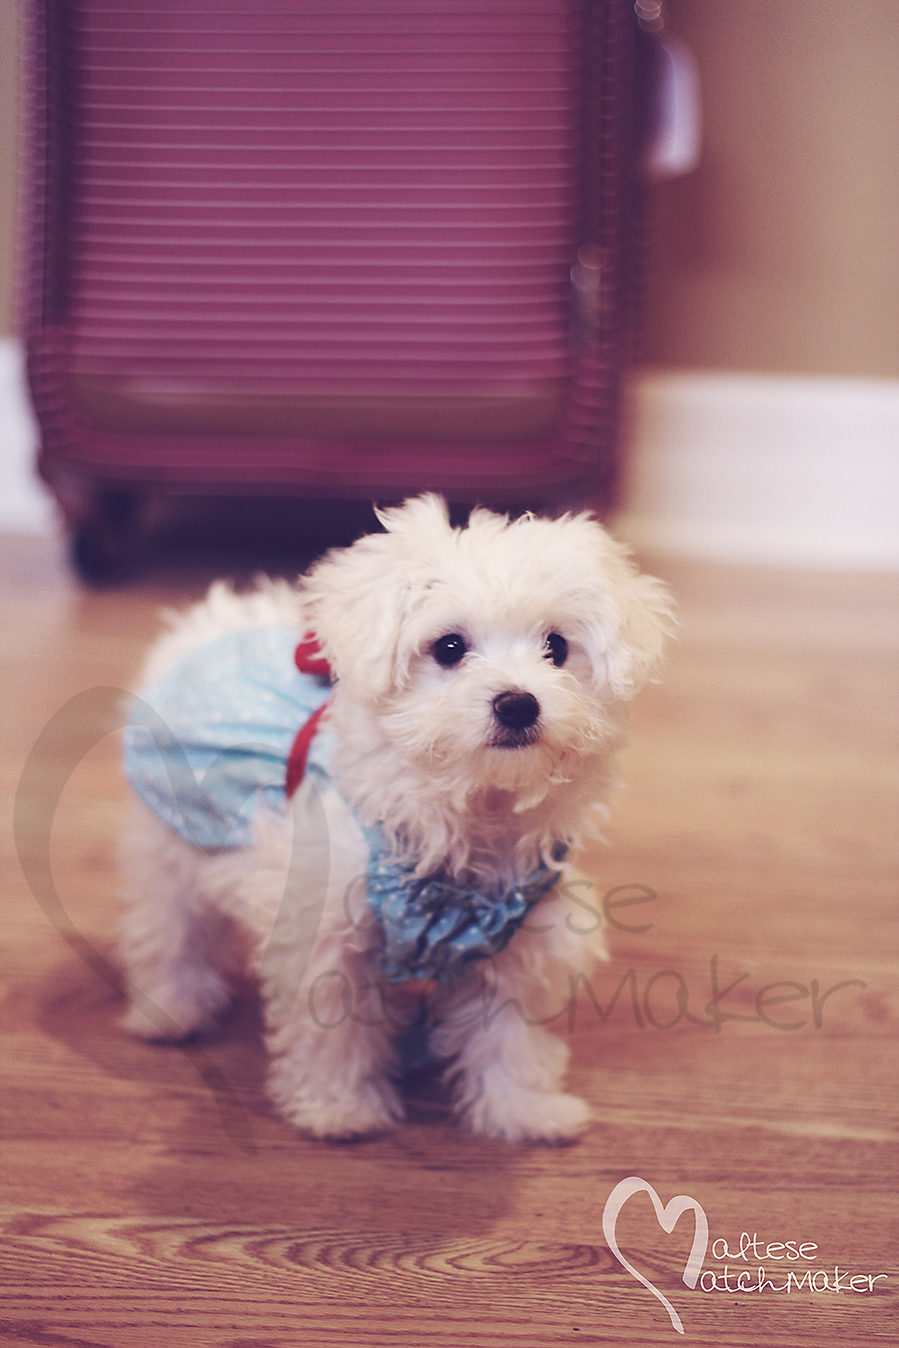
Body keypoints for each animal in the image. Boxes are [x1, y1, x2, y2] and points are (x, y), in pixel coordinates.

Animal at [117, 496, 668, 1137]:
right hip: (171, 840)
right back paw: (171, 1010)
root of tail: (213, 622)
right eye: (449, 647)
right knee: (168, 930)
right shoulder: (323, 933)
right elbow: (332, 1035)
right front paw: (339, 1108)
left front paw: (523, 1111)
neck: (472, 809)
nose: (517, 703)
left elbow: (508, 1040)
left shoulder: (520, 940)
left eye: (556, 647)